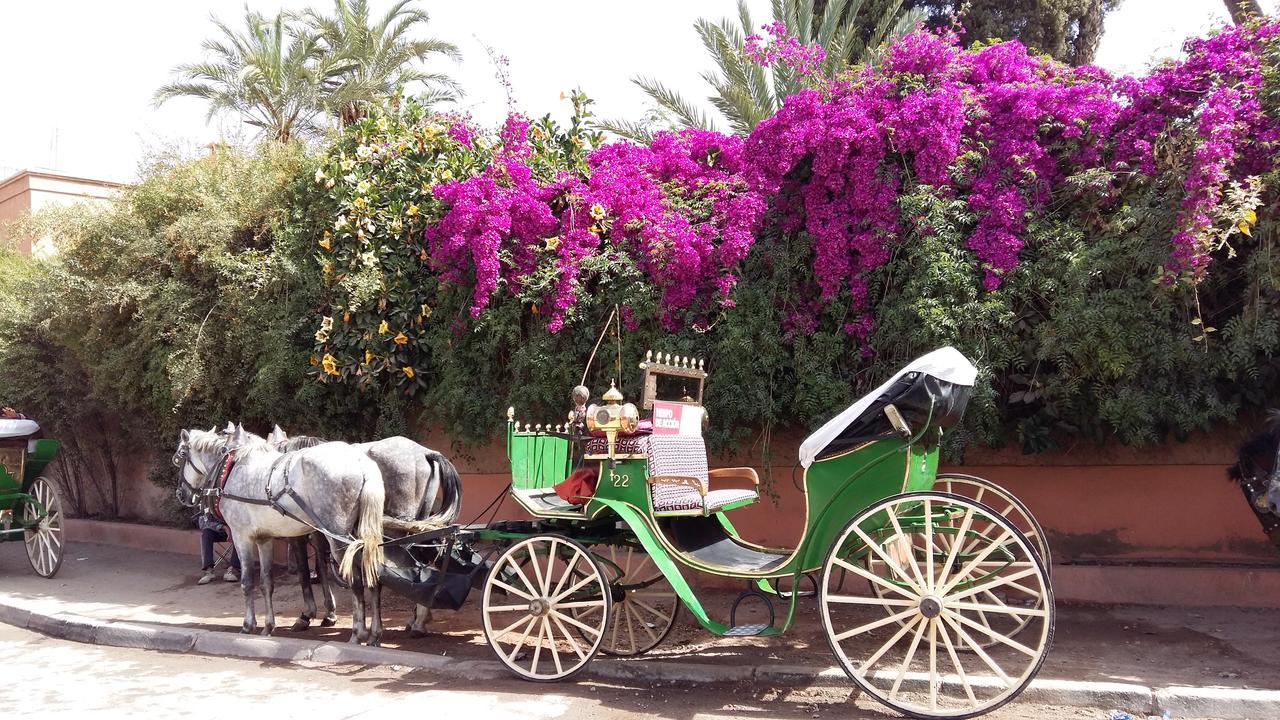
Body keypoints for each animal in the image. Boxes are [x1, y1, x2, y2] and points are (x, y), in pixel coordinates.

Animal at [174, 422, 389, 640]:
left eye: (180, 455)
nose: (182, 493)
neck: (230, 469)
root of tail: (361, 462)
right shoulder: (264, 538)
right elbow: (266, 582)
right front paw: (268, 626)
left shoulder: (241, 537)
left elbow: (248, 581)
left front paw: (248, 625)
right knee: (373, 573)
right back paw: (375, 633)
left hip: (338, 539)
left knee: (356, 580)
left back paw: (358, 633)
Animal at [271, 425, 465, 632]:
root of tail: (424, 452)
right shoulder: (321, 532)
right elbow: (321, 566)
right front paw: (329, 613)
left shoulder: (303, 533)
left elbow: (305, 571)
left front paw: (307, 614)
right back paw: (419, 617)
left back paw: (418, 620)